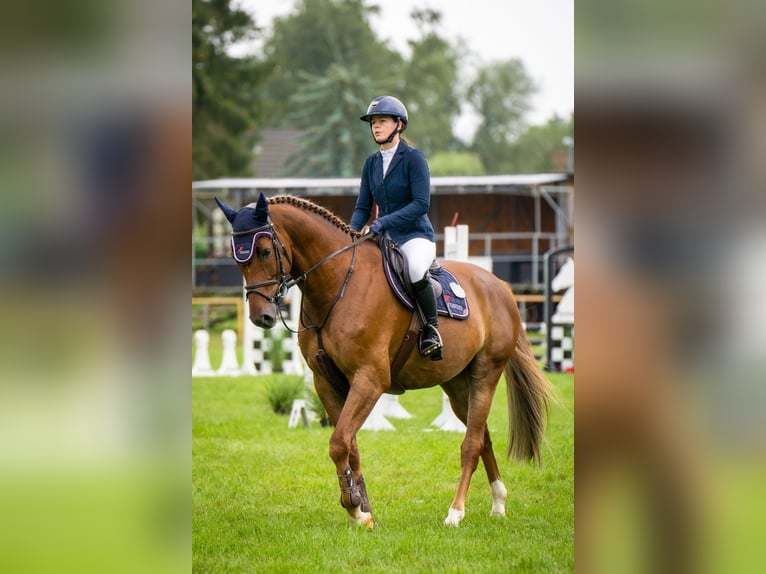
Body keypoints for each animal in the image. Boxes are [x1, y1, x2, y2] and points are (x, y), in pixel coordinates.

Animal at [215, 193, 552, 529]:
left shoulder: (370, 378)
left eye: (265, 251)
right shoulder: (326, 382)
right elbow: (349, 445)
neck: (339, 283)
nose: (262, 317)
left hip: (486, 372)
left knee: (471, 443)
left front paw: (352, 507)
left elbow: (339, 442)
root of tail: (500, 286)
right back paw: (498, 503)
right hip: (457, 384)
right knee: (482, 436)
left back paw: (456, 513)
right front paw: (363, 512)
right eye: (236, 258)